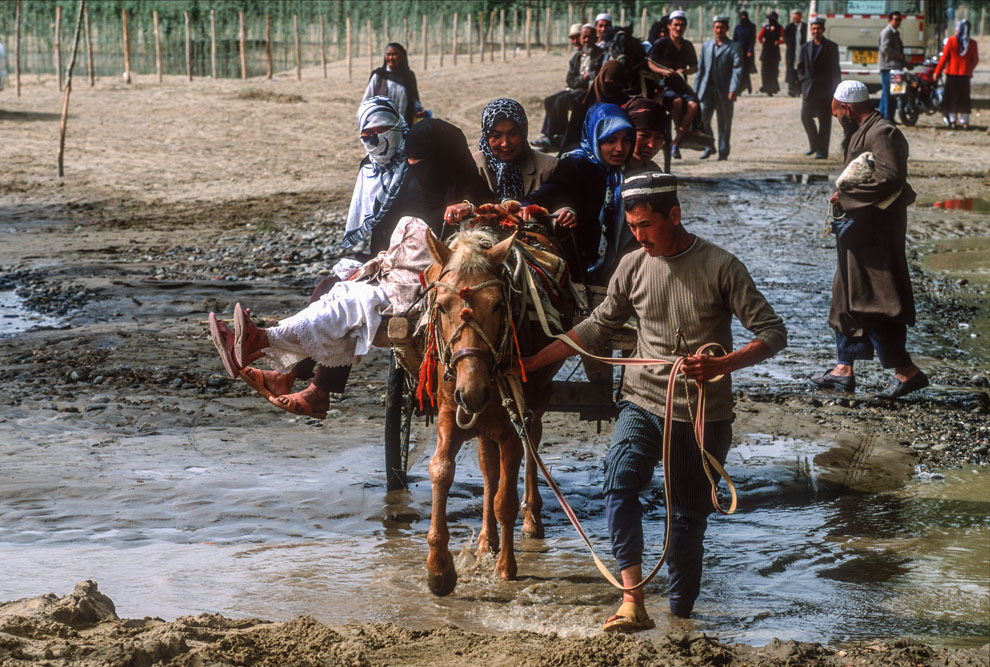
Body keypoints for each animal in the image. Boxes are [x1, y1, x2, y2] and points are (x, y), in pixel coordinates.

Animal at [418, 211, 574, 596]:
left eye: (499, 306)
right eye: (440, 306)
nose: (471, 392)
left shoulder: (510, 420)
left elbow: (506, 497)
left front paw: (506, 567)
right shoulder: (450, 413)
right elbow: (441, 471)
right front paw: (439, 568)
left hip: (533, 402)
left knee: (531, 444)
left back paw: (531, 519)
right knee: (489, 469)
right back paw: (486, 540)